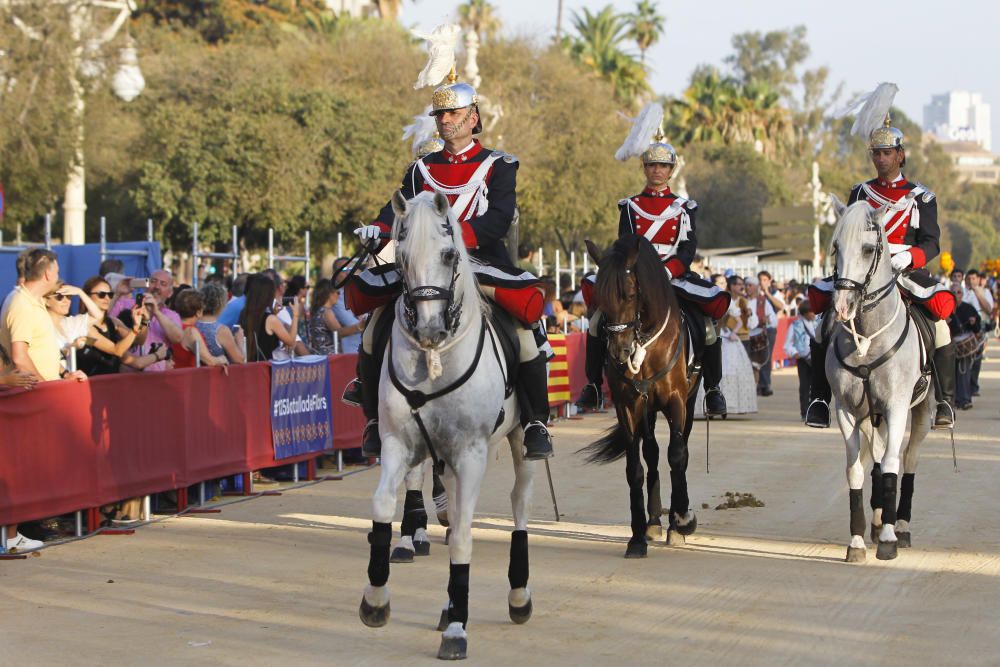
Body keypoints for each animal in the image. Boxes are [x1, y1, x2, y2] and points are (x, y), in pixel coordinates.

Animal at [358, 190, 536, 660]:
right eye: (400, 259)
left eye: (449, 254)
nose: (430, 330)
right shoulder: (397, 444)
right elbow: (383, 505)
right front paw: (376, 600)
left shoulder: (471, 454)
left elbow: (462, 540)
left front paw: (458, 627)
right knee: (454, 511)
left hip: (519, 444)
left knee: (519, 504)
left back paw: (518, 596)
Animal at [584, 235, 700, 560]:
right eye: (598, 297)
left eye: (631, 293)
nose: (619, 352)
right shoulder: (628, 406)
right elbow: (634, 468)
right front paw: (636, 537)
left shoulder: (676, 402)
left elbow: (678, 455)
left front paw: (682, 521)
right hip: (647, 410)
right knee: (651, 452)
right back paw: (653, 522)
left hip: (688, 403)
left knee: (680, 451)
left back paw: (676, 520)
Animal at [828, 198, 928, 564]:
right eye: (836, 248)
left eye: (868, 248)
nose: (843, 306)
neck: (868, 337)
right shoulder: (847, 410)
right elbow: (856, 470)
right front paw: (857, 540)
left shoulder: (897, 406)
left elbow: (890, 466)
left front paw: (888, 538)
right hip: (873, 416)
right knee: (879, 453)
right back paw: (877, 518)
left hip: (921, 410)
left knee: (907, 459)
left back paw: (900, 525)